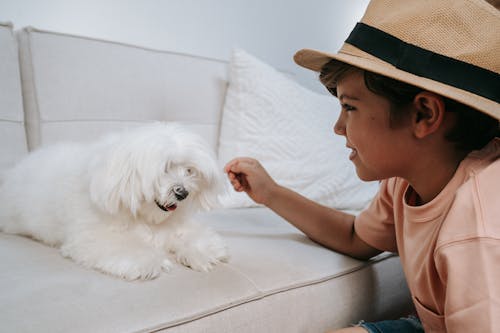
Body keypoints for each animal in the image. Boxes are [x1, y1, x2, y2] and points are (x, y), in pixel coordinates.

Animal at [0, 121, 229, 278]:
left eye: (189, 170)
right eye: (165, 168)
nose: (183, 193)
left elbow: (192, 237)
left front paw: (203, 252)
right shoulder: (94, 237)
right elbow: (126, 246)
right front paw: (150, 261)